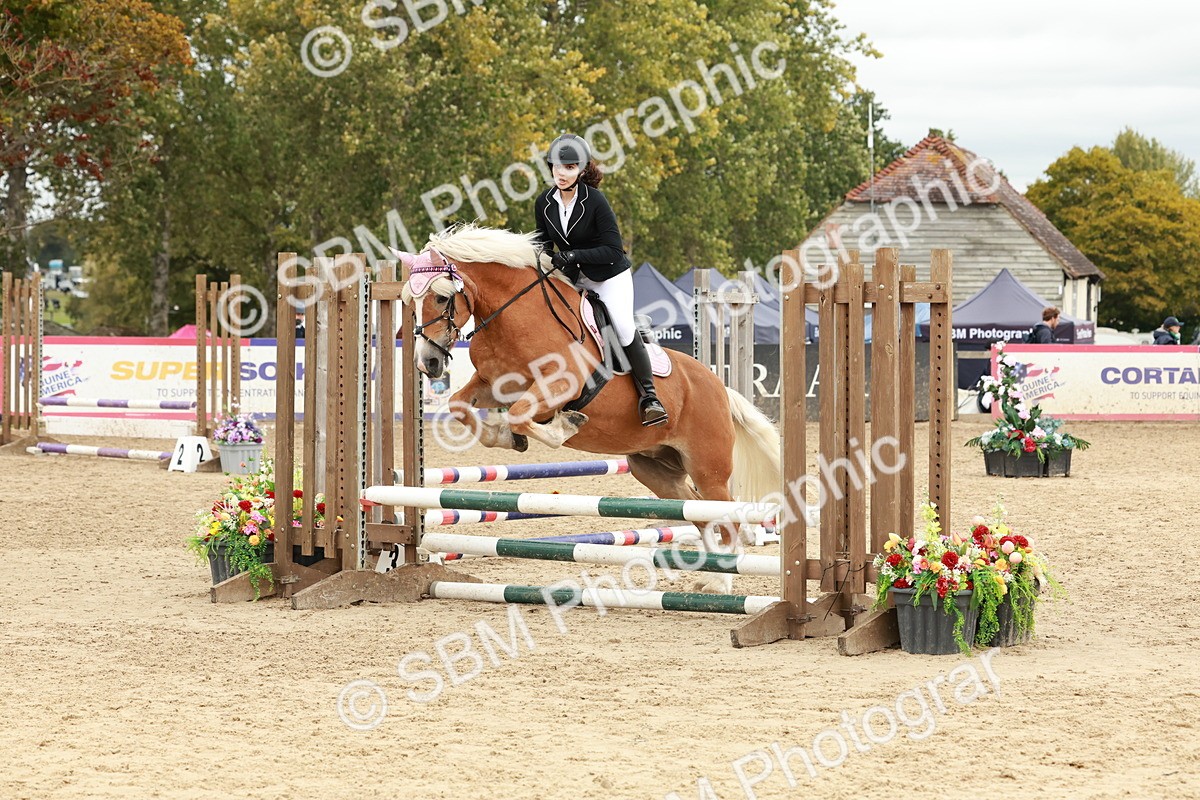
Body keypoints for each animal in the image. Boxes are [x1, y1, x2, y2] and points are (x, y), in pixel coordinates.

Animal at [390, 225, 781, 593]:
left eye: (441, 297)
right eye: (410, 300)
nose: (427, 363)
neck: (516, 316)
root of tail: (719, 387)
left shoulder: (561, 386)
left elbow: (523, 415)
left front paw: (563, 425)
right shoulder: (492, 385)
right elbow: (461, 405)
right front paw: (506, 438)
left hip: (708, 468)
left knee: (726, 518)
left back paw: (721, 583)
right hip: (656, 469)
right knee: (699, 514)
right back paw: (712, 577)